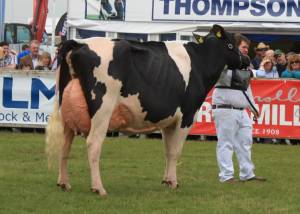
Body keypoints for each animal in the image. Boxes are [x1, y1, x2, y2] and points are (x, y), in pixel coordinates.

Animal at [46, 24, 248, 196]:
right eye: (231, 44)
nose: (246, 59)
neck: (200, 61)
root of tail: (80, 43)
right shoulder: (187, 115)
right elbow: (176, 151)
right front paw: (174, 182)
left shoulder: (169, 120)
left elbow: (168, 151)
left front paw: (166, 181)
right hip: (102, 108)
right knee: (93, 144)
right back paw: (99, 188)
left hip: (66, 111)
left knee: (65, 144)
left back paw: (64, 183)